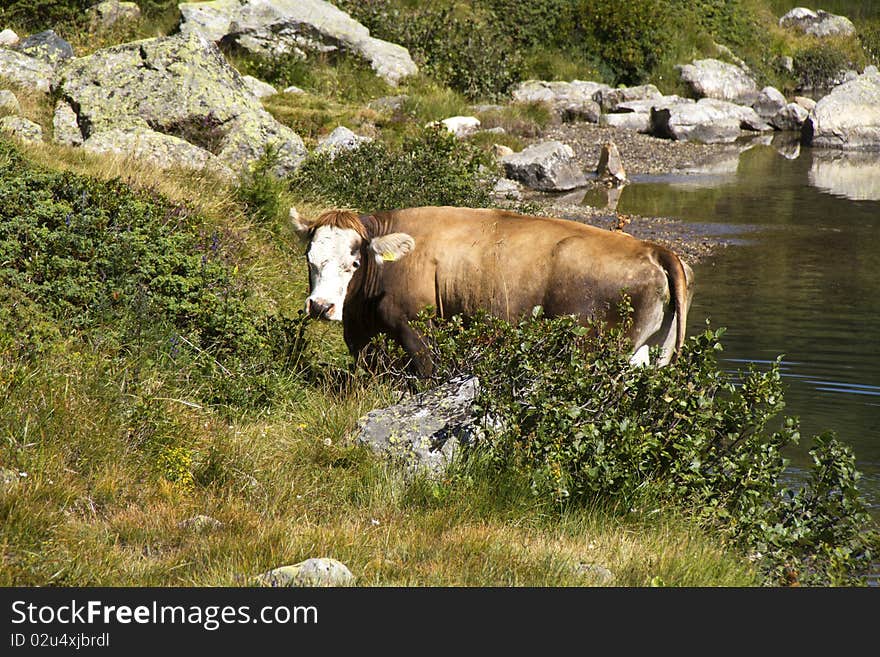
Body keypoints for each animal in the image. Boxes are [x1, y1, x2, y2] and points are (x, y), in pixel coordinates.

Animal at [292, 205, 696, 380]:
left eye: (353, 263)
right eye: (309, 258)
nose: (321, 306)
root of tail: (652, 248)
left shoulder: (417, 330)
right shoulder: (362, 333)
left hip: (597, 349)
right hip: (651, 351)